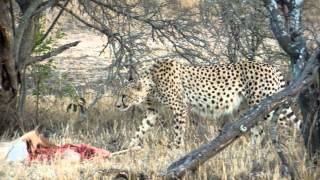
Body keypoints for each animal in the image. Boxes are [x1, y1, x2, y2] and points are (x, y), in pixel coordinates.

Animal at [116, 59, 302, 148]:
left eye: (124, 96)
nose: (117, 106)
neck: (152, 81)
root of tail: (271, 66)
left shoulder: (179, 108)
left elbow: (177, 131)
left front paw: (176, 149)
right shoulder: (153, 112)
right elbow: (141, 129)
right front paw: (128, 147)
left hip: (266, 104)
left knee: (285, 125)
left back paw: (290, 148)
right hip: (252, 108)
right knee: (259, 131)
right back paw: (252, 152)